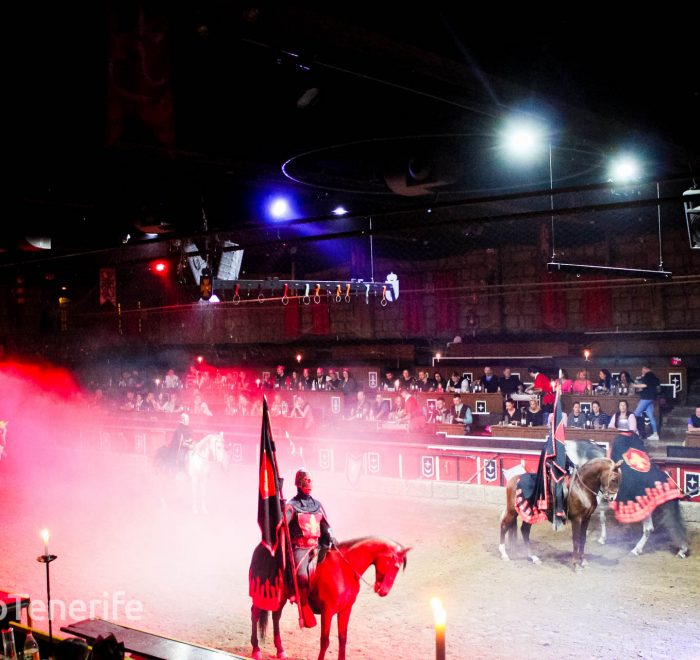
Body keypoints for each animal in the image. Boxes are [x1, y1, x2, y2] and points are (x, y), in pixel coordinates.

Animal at [250, 536, 410, 660]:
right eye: (396, 566)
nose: (384, 591)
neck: (344, 569)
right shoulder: (327, 612)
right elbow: (325, 641)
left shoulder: (345, 610)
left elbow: (342, 639)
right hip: (263, 594)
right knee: (255, 614)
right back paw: (256, 650)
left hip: (280, 597)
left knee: (276, 616)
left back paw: (280, 651)